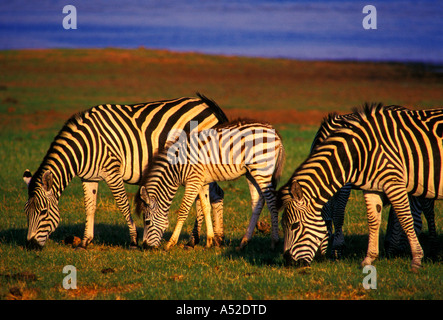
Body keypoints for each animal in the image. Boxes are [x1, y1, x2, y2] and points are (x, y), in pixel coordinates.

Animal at [22, 94, 227, 249]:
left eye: (43, 211)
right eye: (26, 212)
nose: (30, 245)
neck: (85, 146)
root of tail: (208, 106)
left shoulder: (112, 172)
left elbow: (123, 205)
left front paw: (134, 240)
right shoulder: (88, 177)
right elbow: (90, 206)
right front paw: (85, 241)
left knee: (206, 197)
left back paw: (196, 240)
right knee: (215, 195)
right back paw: (214, 239)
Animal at [135, 119, 286, 250]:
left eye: (147, 222)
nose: (145, 246)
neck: (177, 167)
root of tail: (275, 133)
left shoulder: (193, 181)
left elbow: (184, 210)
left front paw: (171, 243)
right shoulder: (202, 182)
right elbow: (206, 207)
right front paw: (209, 240)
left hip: (261, 169)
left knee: (271, 200)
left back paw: (274, 241)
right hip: (251, 172)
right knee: (258, 202)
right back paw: (244, 242)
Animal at [280, 104, 443, 270]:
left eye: (294, 226)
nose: (289, 262)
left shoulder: (346, 184)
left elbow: (338, 214)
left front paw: (337, 249)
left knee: (426, 209)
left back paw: (431, 247)